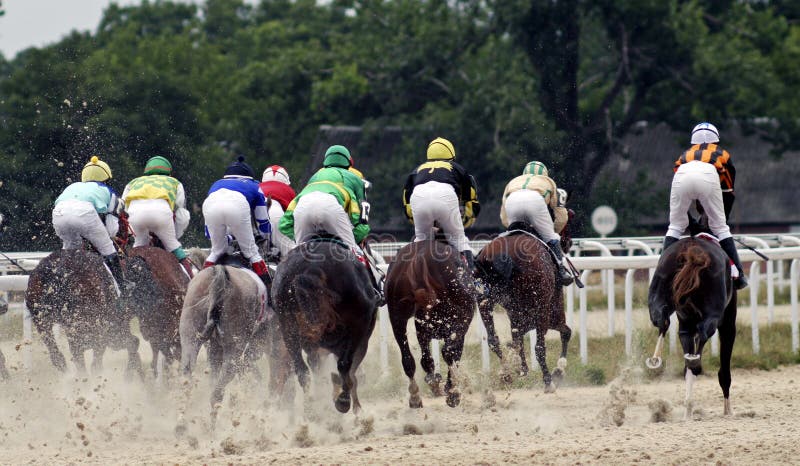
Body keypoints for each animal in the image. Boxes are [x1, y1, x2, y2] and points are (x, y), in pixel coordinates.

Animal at [270, 238, 380, 414]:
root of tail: (311, 270)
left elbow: (317, 367)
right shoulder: (361, 335)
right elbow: (350, 370)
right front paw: (352, 405)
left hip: (288, 328)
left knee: (302, 370)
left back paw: (312, 408)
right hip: (357, 328)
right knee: (344, 365)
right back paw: (342, 401)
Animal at [386, 240, 476, 408]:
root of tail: (421, 259)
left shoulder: (423, 325)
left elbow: (427, 359)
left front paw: (435, 382)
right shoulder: (459, 324)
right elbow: (455, 352)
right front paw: (449, 386)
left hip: (396, 316)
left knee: (408, 359)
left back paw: (416, 396)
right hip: (463, 317)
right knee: (448, 351)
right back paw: (453, 393)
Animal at [476, 233, 568, 394]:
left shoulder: (518, 316)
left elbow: (517, 341)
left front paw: (521, 369)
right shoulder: (550, 313)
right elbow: (565, 333)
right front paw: (559, 370)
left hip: (484, 301)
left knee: (493, 340)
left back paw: (507, 374)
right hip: (542, 309)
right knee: (539, 347)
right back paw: (548, 381)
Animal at [648, 237, 736, 418]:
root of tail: (691, 251)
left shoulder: (685, 322)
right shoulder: (728, 322)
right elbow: (724, 368)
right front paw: (728, 410)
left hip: (660, 291)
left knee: (662, 319)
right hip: (714, 311)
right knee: (704, 331)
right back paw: (695, 362)